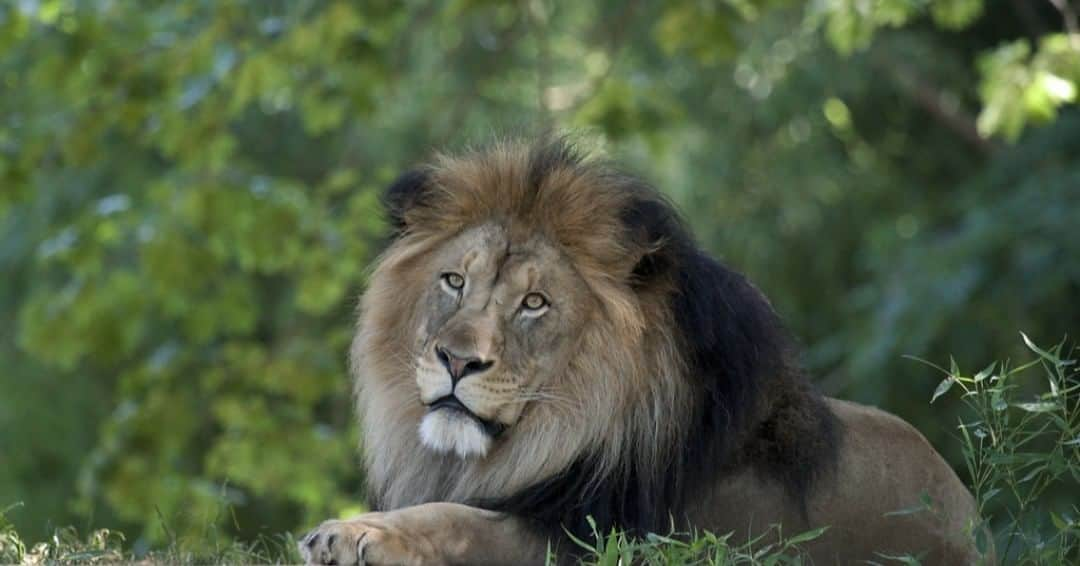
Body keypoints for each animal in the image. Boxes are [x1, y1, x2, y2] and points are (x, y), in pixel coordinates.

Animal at [300, 139, 984, 561]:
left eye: (535, 303)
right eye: (454, 281)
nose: (457, 361)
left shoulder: (605, 539)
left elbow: (460, 521)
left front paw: (347, 534)